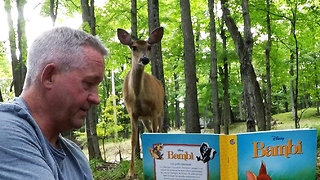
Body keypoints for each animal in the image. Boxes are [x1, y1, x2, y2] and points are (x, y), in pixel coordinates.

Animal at [116, 26, 164, 179]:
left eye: (149, 47)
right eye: (134, 47)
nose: (144, 59)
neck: (137, 95)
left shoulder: (154, 110)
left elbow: (156, 134)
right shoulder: (132, 113)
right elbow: (133, 140)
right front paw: (130, 172)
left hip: (161, 111)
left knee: (159, 130)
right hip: (145, 118)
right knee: (150, 131)